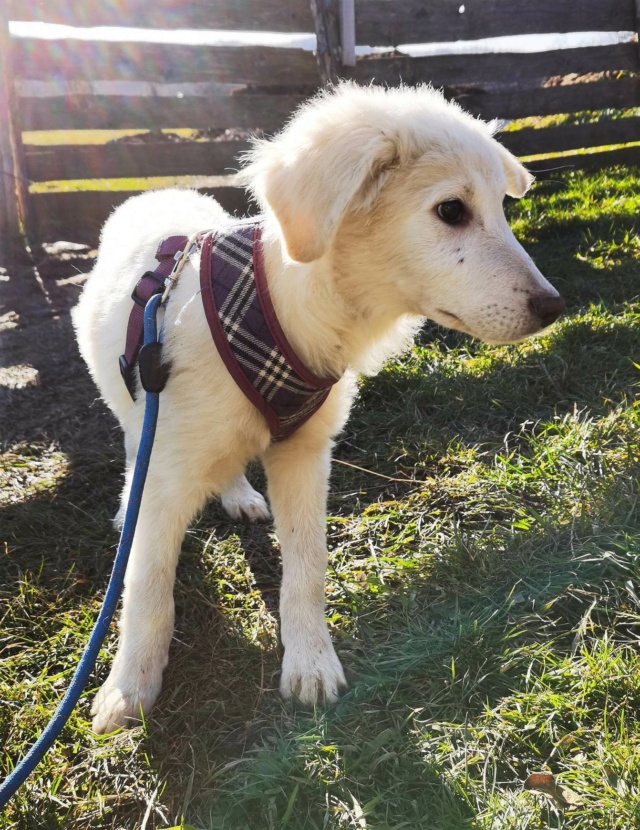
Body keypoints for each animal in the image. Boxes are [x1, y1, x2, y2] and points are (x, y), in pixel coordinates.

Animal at [72, 83, 564, 736]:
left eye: (501, 207)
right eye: (452, 211)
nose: (554, 308)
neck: (273, 312)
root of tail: (158, 191)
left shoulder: (304, 453)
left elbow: (307, 566)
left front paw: (310, 663)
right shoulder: (170, 471)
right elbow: (147, 589)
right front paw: (128, 692)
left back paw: (238, 494)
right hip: (135, 404)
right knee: (135, 446)